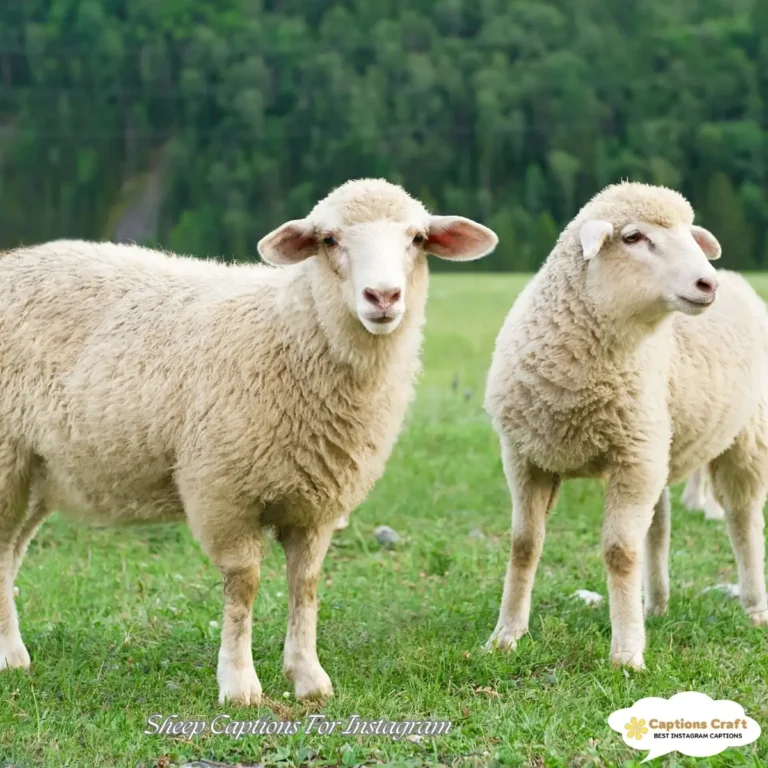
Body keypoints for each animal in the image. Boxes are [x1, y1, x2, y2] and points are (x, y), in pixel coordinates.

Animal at [0, 178, 498, 704]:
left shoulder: (317, 504)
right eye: (329, 240)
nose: (382, 296)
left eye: (418, 239)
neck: (292, 334)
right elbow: (244, 586)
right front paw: (239, 684)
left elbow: (306, 584)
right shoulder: (223, 492)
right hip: (7, 459)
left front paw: (308, 677)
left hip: (39, 471)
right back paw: (12, 656)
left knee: (9, 552)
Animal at [484, 181, 768, 670]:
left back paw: (753, 607)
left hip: (742, 437)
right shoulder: (525, 457)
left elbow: (619, 553)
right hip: (659, 443)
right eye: (634, 237)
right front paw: (506, 635)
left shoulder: (632, 459)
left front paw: (627, 654)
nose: (706, 283)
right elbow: (524, 544)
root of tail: (737, 278)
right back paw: (655, 604)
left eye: (690, 235)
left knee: (743, 518)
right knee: (661, 524)